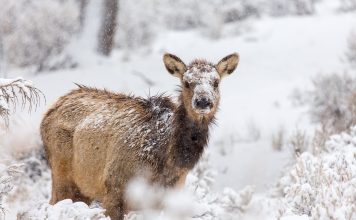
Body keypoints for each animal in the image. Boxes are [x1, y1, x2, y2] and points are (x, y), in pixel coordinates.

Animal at [41, 52, 239, 219]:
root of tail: (50, 110)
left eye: (216, 82)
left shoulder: (166, 197)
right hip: (62, 174)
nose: (203, 101)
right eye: (186, 82)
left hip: (83, 189)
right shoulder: (113, 188)